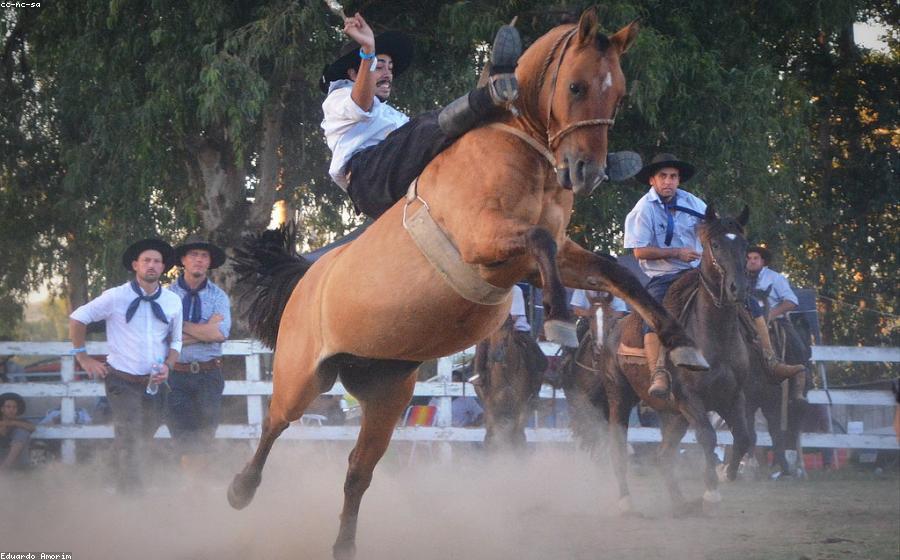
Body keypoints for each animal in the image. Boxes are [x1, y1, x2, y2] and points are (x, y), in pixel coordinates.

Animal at [471, 317, 547, 451]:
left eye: (506, 328)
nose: (495, 355)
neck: (506, 371)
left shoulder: (521, 407)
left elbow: (516, 438)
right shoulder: (491, 407)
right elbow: (493, 438)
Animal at [598, 206, 756, 516]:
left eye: (744, 245)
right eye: (715, 244)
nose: (738, 288)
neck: (715, 333)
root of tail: (614, 327)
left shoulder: (733, 396)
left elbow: (743, 437)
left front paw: (728, 474)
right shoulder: (690, 398)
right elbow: (708, 436)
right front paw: (711, 493)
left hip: (673, 415)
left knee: (663, 454)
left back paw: (680, 503)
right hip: (620, 397)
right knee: (617, 448)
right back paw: (626, 502)